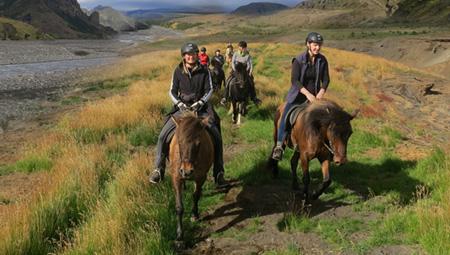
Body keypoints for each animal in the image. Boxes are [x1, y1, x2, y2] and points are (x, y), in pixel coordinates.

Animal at [170, 112, 215, 246]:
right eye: (179, 142)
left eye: (199, 144)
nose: (187, 171)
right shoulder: (176, 178)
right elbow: (179, 207)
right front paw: (179, 237)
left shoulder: (201, 177)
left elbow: (196, 196)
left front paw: (194, 215)